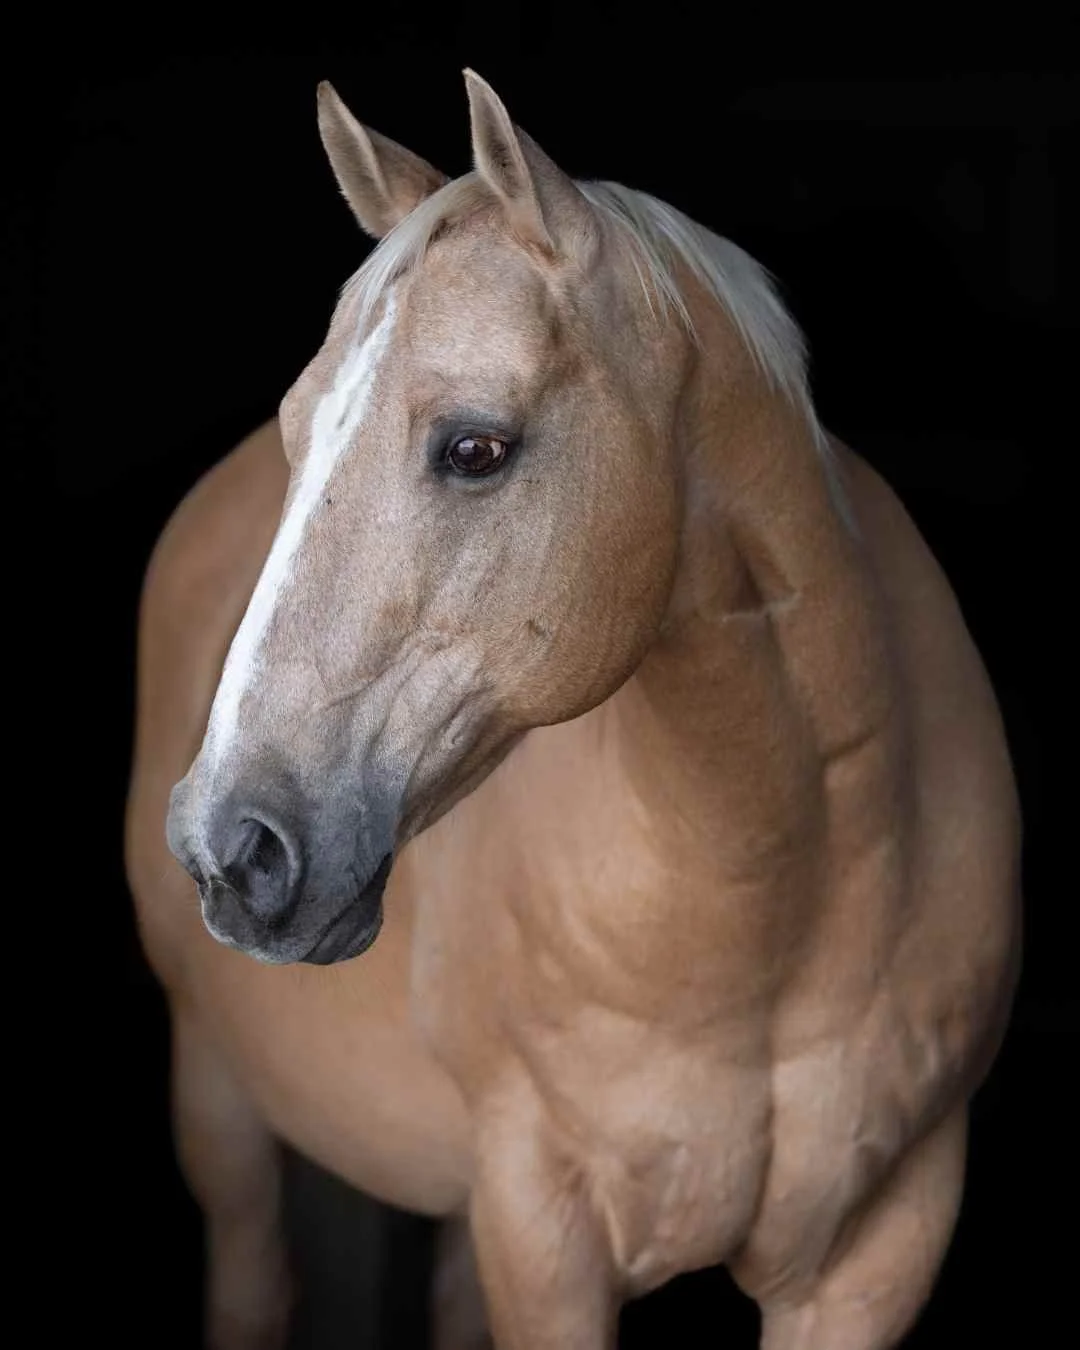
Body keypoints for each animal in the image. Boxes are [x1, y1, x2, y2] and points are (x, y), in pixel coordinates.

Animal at [125, 70, 1021, 1350]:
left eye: (475, 448)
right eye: (301, 429)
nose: (227, 845)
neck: (777, 900)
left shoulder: (877, 1254)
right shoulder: (544, 1240)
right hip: (223, 1109)